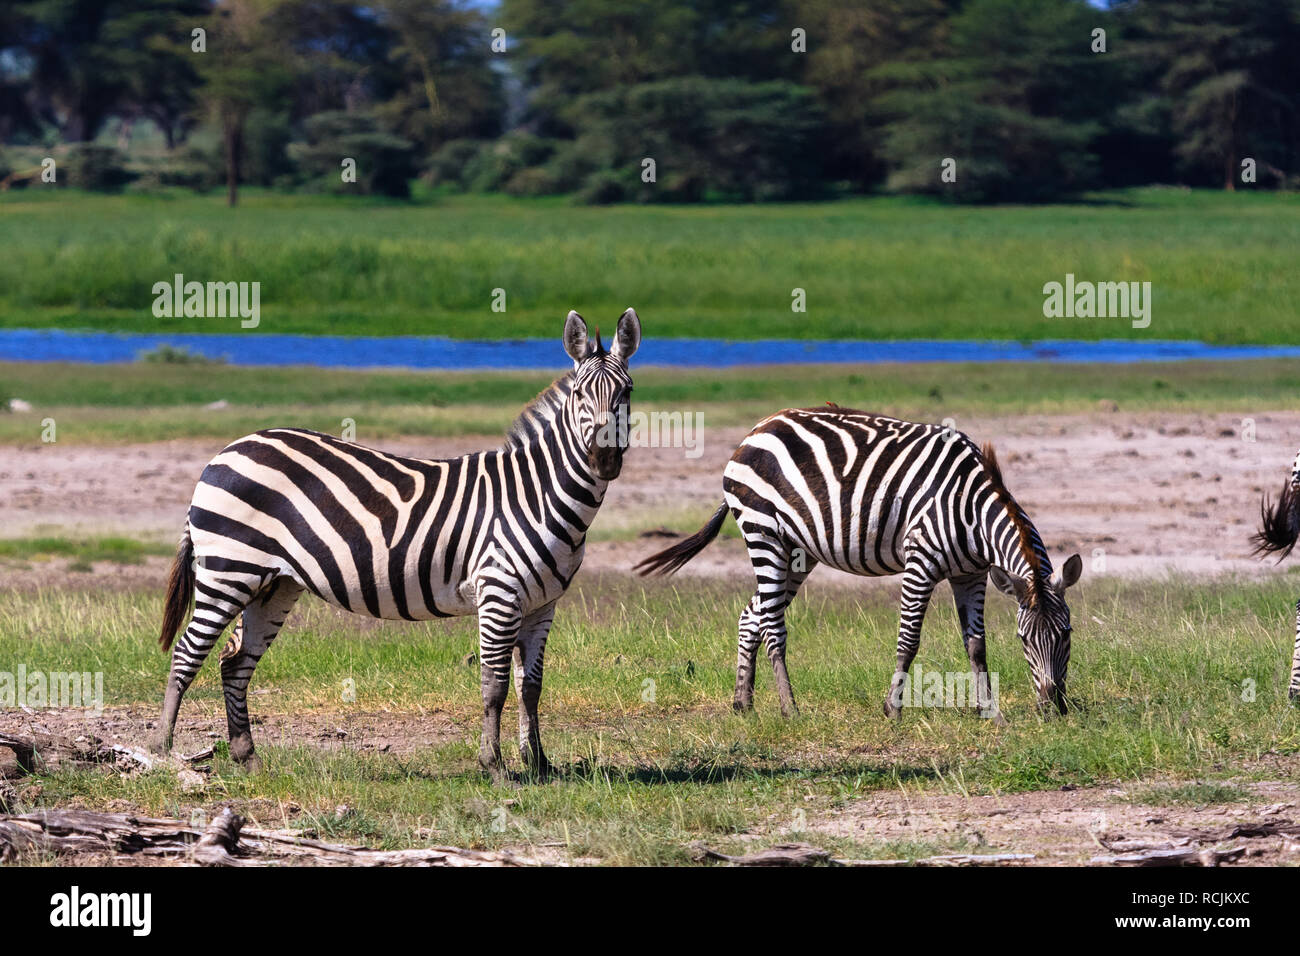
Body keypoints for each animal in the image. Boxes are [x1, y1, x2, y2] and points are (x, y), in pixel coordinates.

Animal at [154, 310, 642, 780]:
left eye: (627, 391)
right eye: (579, 394)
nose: (604, 459)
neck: (539, 493)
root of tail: (225, 451)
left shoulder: (543, 604)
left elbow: (532, 686)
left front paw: (539, 763)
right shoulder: (498, 592)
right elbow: (495, 685)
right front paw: (495, 766)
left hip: (274, 583)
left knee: (234, 662)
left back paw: (248, 759)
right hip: (228, 570)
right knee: (186, 654)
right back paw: (161, 753)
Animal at [634, 408, 1081, 717]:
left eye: (1067, 634)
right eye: (1024, 639)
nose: (1053, 708)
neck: (970, 510)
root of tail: (755, 430)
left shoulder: (970, 575)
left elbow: (976, 646)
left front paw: (989, 712)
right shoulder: (921, 562)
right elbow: (908, 640)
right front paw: (893, 709)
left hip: (797, 551)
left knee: (752, 616)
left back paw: (743, 703)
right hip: (764, 533)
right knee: (772, 625)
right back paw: (790, 709)